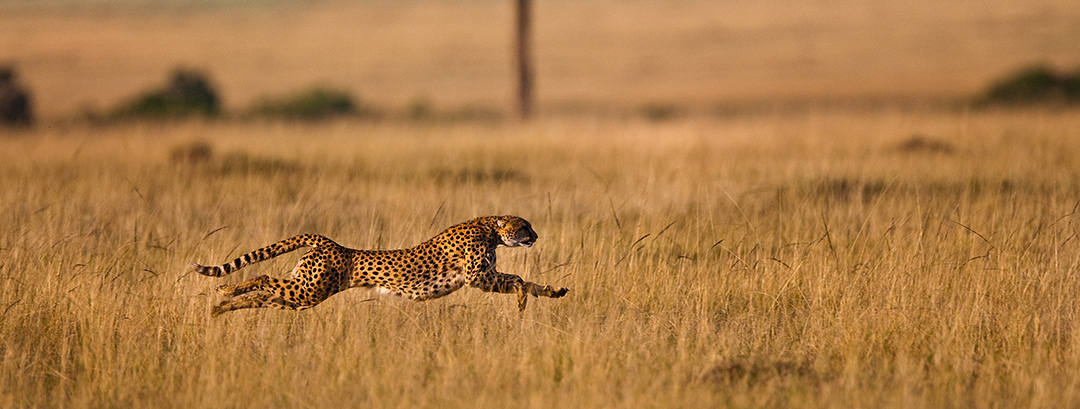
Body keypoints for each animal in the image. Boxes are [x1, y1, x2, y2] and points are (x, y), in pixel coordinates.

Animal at [190, 214, 570, 317]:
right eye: (524, 225)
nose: (536, 235)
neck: (490, 228)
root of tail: (329, 241)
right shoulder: (477, 276)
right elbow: (518, 278)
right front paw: (522, 301)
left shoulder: (484, 275)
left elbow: (529, 281)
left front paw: (553, 291)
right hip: (309, 289)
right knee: (264, 276)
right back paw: (224, 289)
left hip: (302, 294)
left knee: (263, 295)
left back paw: (220, 306)